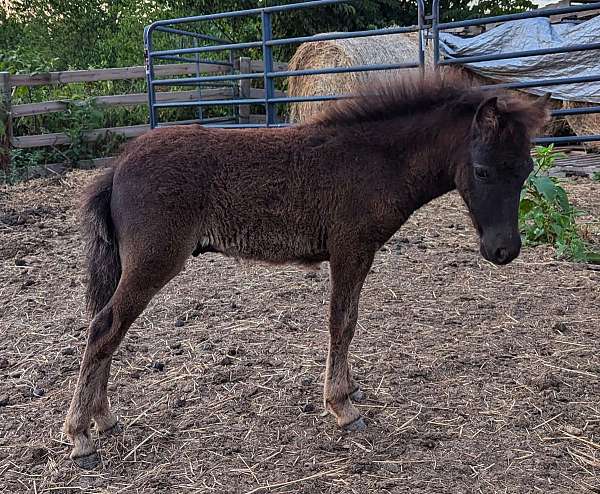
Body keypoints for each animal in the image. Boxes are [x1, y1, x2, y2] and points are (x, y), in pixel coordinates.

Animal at [64, 73, 548, 466]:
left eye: (526, 168)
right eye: (482, 170)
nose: (503, 249)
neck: (376, 159)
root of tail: (117, 167)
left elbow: (348, 322)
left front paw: (348, 391)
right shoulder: (351, 249)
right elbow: (343, 322)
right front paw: (342, 407)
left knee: (106, 328)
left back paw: (103, 418)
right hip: (154, 260)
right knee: (105, 327)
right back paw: (81, 435)